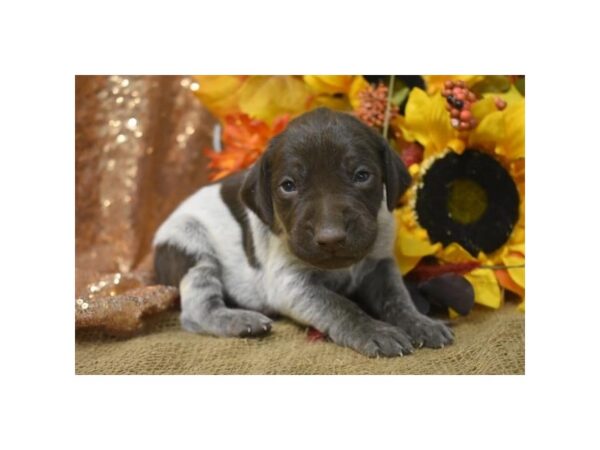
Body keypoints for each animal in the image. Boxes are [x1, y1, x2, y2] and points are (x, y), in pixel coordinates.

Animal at [152, 107, 452, 356]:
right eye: (288, 185)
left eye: (362, 176)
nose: (331, 237)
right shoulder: (292, 283)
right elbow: (340, 305)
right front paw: (373, 330)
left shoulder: (380, 264)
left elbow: (397, 299)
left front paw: (420, 322)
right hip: (191, 245)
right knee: (196, 311)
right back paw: (239, 320)